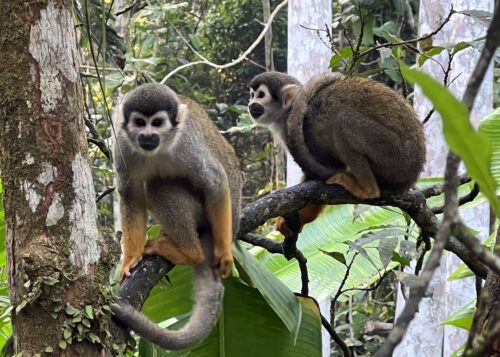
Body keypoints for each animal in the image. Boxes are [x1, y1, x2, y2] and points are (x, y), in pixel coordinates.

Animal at [111, 84, 242, 350]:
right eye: (139, 122)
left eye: (157, 123)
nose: (147, 135)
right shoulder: (123, 147)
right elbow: (130, 196)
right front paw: (130, 258)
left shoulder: (188, 147)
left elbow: (215, 182)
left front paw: (224, 254)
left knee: (159, 186)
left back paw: (191, 253)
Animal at [248, 72, 424, 232]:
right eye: (252, 95)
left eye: (261, 95)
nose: (250, 104)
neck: (289, 111)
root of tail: (413, 173)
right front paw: (303, 217)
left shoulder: (307, 130)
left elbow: (328, 169)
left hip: (393, 154)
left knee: (344, 121)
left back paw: (367, 189)